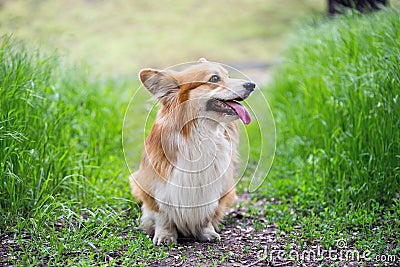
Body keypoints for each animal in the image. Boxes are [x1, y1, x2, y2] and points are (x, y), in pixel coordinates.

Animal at [130, 58, 255, 245]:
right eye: (214, 79)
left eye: (228, 76)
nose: (252, 84)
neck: (200, 135)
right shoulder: (156, 187)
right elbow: (162, 215)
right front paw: (165, 235)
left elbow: (207, 214)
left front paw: (207, 231)